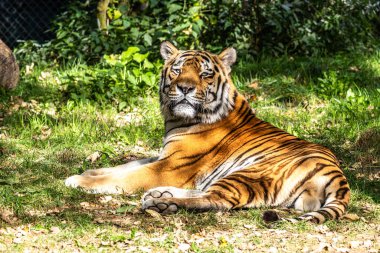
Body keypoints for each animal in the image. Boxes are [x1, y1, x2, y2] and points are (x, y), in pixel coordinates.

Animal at [66, 41, 350, 223]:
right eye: (178, 70)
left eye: (204, 74)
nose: (185, 88)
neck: (175, 119)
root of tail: (336, 173)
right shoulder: (164, 156)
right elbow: (126, 165)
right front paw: (89, 172)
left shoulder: (170, 166)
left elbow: (126, 176)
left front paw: (78, 180)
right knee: (207, 192)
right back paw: (161, 195)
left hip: (249, 172)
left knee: (218, 200)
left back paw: (162, 202)